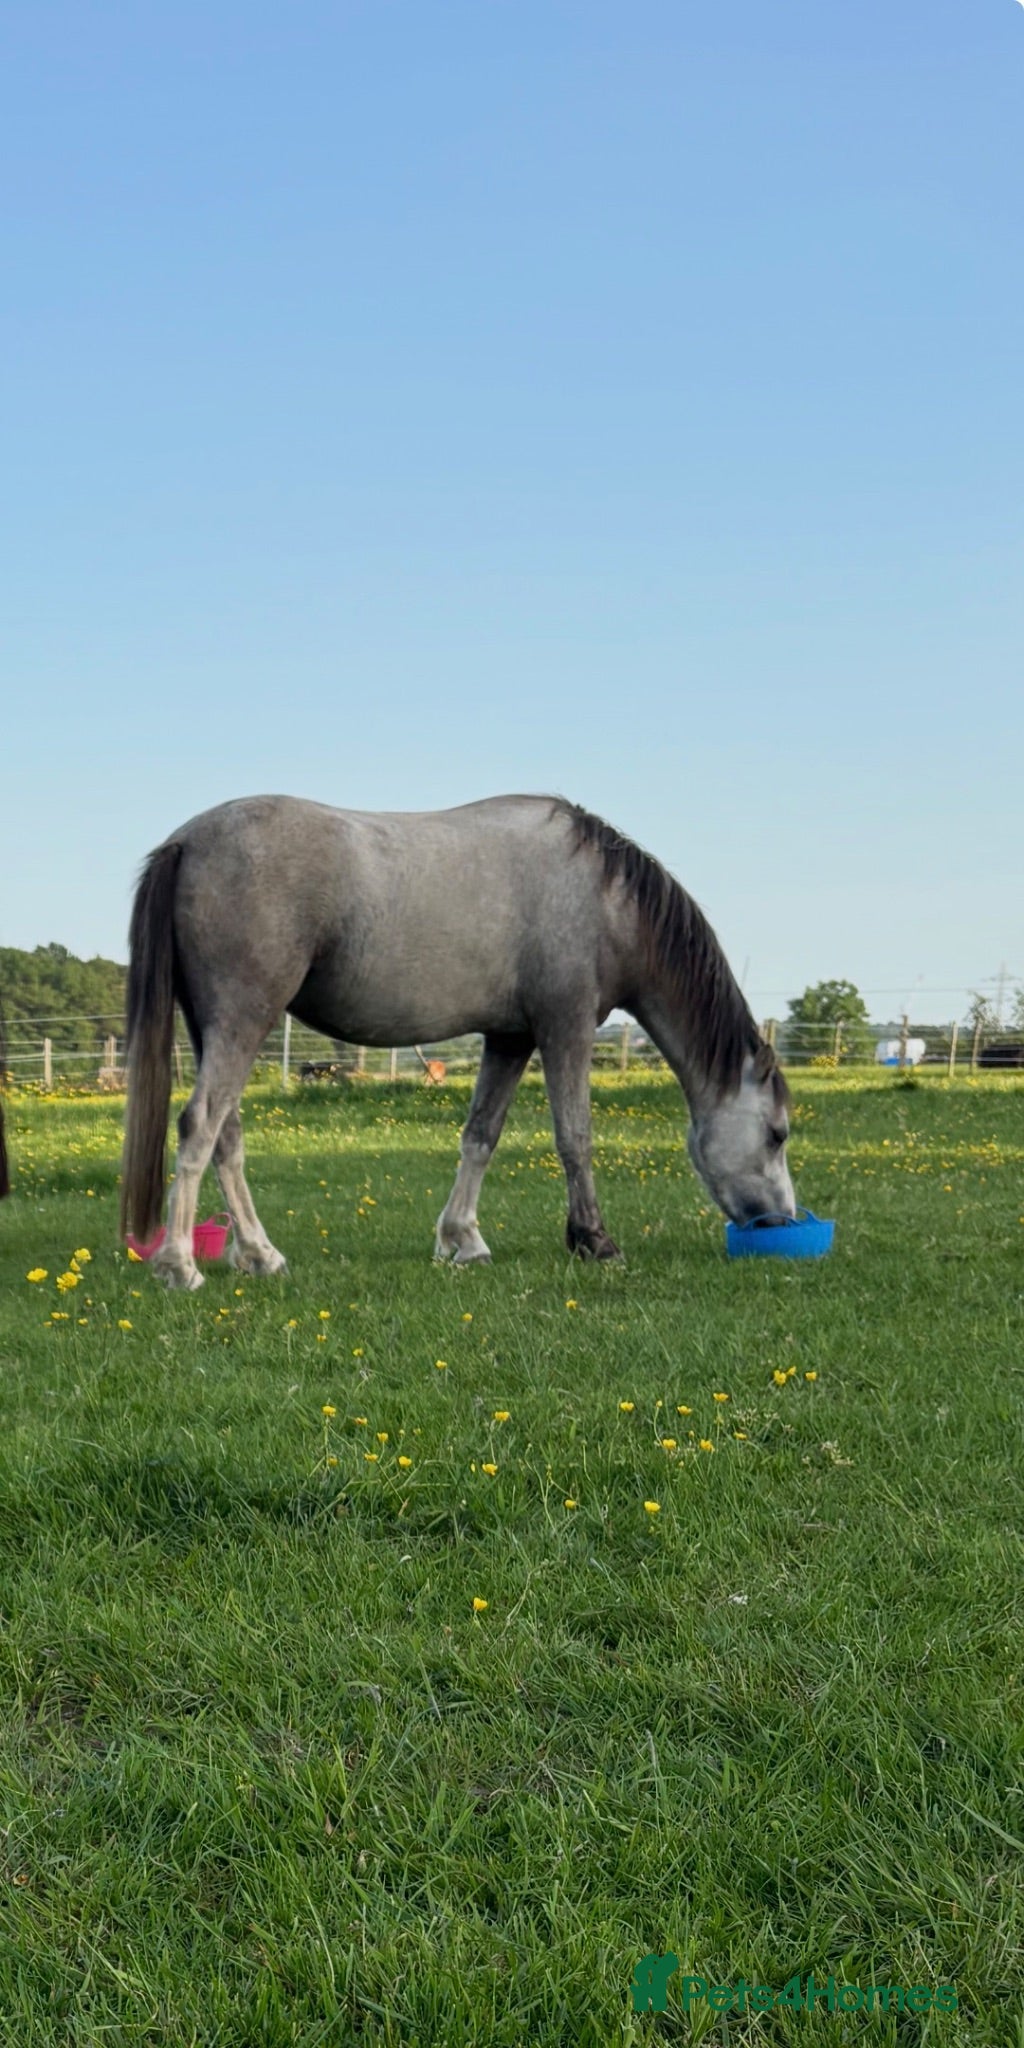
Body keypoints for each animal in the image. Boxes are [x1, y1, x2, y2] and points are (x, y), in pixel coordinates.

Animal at [120, 794, 796, 1290]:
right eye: (778, 1134)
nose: (784, 1220)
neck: (605, 900)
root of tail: (187, 842)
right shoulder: (566, 1027)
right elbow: (575, 1138)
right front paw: (593, 1240)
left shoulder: (510, 1037)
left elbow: (481, 1135)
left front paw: (462, 1239)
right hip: (243, 1020)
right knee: (200, 1125)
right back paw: (180, 1265)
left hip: (212, 1029)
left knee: (225, 1136)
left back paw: (260, 1254)